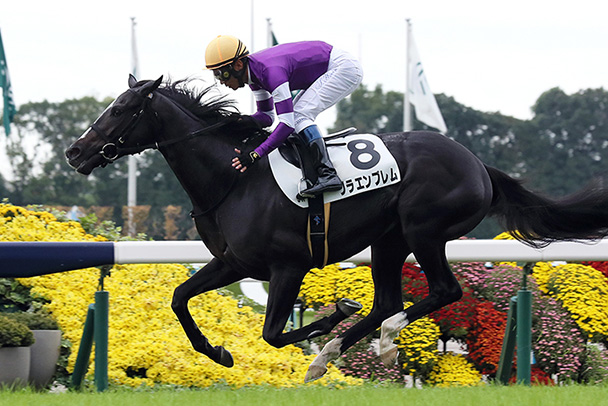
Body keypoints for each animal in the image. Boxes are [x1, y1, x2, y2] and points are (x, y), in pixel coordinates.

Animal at [65, 75, 608, 382]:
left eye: (120, 109)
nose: (74, 151)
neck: (234, 177)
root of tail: (478, 164)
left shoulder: (287, 266)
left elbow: (272, 334)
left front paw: (329, 317)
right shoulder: (234, 261)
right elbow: (180, 297)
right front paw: (217, 353)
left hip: (423, 231)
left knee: (441, 291)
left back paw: (380, 340)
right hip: (388, 241)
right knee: (388, 300)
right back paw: (327, 356)